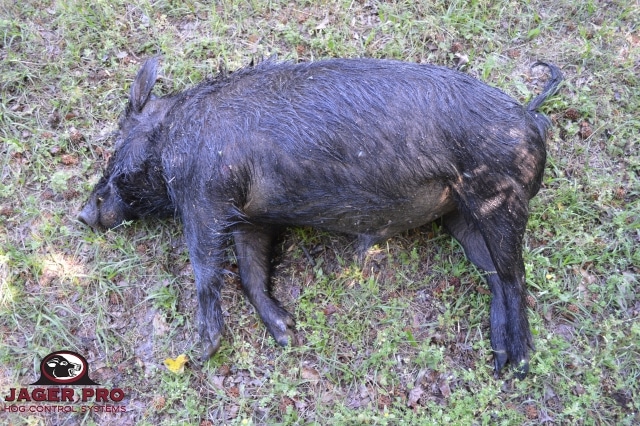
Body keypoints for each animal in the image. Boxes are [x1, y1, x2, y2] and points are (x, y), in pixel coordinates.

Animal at [79, 57, 562, 379]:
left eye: (116, 145)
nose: (84, 214)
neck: (170, 140)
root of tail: (531, 117)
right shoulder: (253, 216)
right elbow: (250, 273)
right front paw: (289, 334)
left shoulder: (204, 197)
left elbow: (204, 267)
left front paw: (202, 352)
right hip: (460, 217)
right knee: (495, 275)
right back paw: (499, 361)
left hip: (498, 196)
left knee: (516, 274)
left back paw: (521, 363)